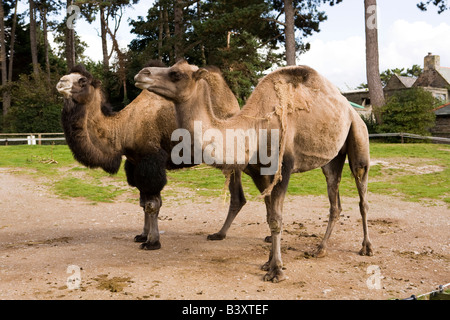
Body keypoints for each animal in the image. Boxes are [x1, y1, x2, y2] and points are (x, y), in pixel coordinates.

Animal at [55, 64, 250, 250]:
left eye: (82, 81)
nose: (60, 83)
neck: (123, 129)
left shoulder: (151, 161)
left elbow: (152, 205)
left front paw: (152, 242)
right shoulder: (135, 164)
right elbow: (143, 202)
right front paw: (143, 235)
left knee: (237, 196)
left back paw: (221, 234)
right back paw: (221, 233)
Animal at [134, 60, 372, 282]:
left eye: (175, 73)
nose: (141, 74)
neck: (254, 129)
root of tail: (352, 110)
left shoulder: (282, 168)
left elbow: (276, 218)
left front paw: (276, 271)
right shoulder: (260, 173)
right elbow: (269, 216)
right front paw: (269, 263)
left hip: (359, 138)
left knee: (362, 195)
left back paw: (366, 247)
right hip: (331, 158)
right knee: (335, 199)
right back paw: (320, 249)